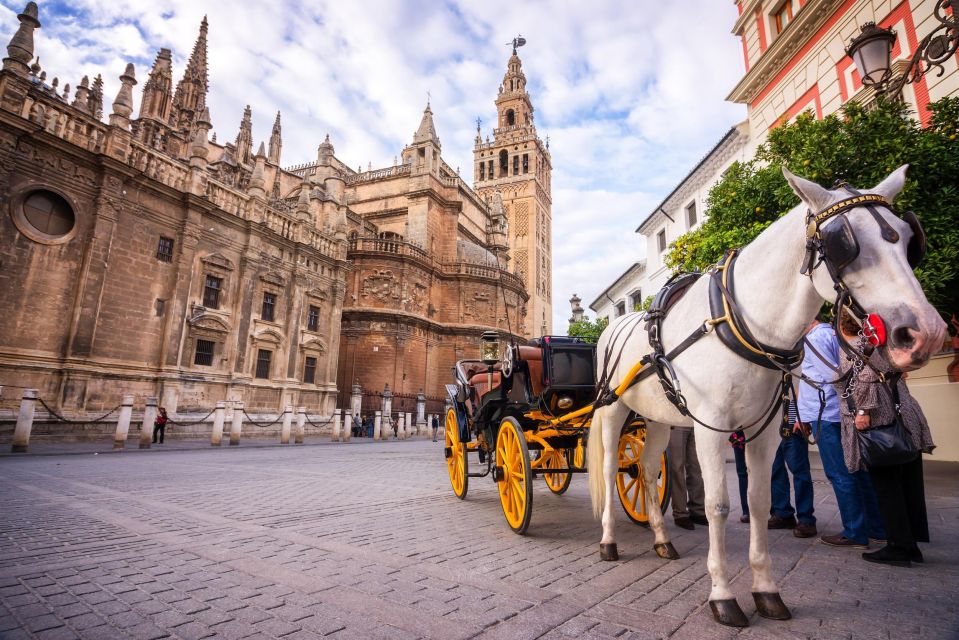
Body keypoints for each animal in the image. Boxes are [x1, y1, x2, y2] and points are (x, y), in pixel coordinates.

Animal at [584, 168, 944, 628]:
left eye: (908, 237)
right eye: (843, 242)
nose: (926, 332)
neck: (742, 324)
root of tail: (614, 328)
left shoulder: (765, 429)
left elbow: (757, 501)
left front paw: (765, 590)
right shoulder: (710, 427)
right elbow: (718, 505)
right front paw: (722, 595)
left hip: (660, 417)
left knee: (646, 470)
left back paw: (661, 538)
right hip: (614, 409)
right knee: (610, 468)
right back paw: (608, 541)